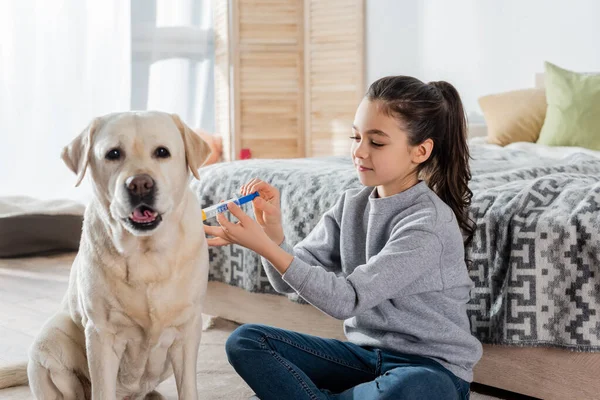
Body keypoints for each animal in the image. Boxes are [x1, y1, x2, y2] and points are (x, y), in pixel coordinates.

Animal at [0, 111, 213, 400]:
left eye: (162, 152)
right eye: (113, 153)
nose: (140, 184)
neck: (146, 253)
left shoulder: (188, 329)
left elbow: (188, 387)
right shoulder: (101, 334)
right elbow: (102, 389)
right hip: (50, 338)